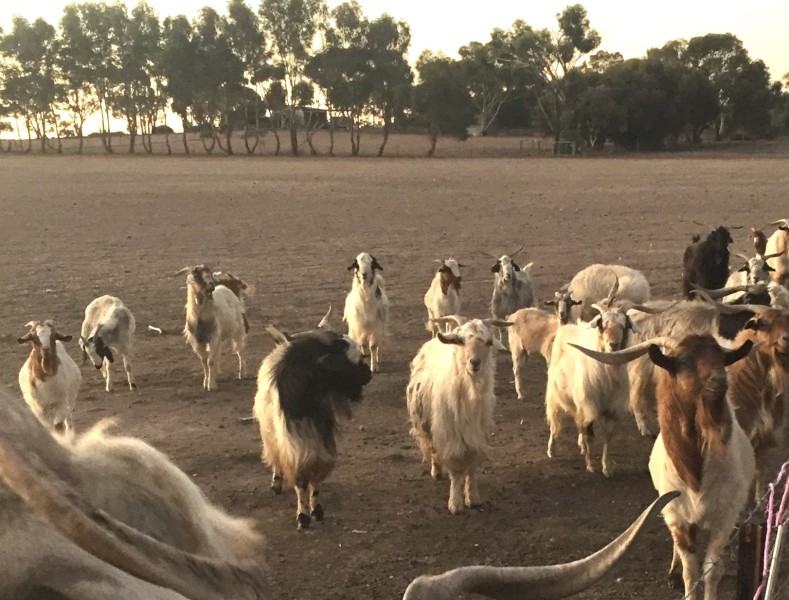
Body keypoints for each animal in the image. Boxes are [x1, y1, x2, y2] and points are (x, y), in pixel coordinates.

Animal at [255, 318, 372, 529]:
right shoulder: (295, 445)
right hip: (270, 432)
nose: (369, 375)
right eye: (347, 361)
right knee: (275, 456)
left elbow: (316, 477)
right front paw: (303, 516)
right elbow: (300, 481)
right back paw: (276, 483)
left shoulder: (320, 441)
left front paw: (317, 510)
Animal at [407, 318, 510, 514]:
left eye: (488, 342)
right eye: (461, 341)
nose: (475, 362)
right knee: (432, 448)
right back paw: (436, 471)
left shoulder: (477, 434)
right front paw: (455, 502)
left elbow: (472, 467)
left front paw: (473, 496)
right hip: (426, 423)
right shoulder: (449, 434)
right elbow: (455, 470)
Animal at [573, 335, 756, 600]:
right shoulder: (676, 516)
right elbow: (690, 572)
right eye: (683, 361)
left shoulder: (725, 517)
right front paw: (681, 580)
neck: (695, 473)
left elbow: (711, 571)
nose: (720, 381)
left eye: (721, 359)